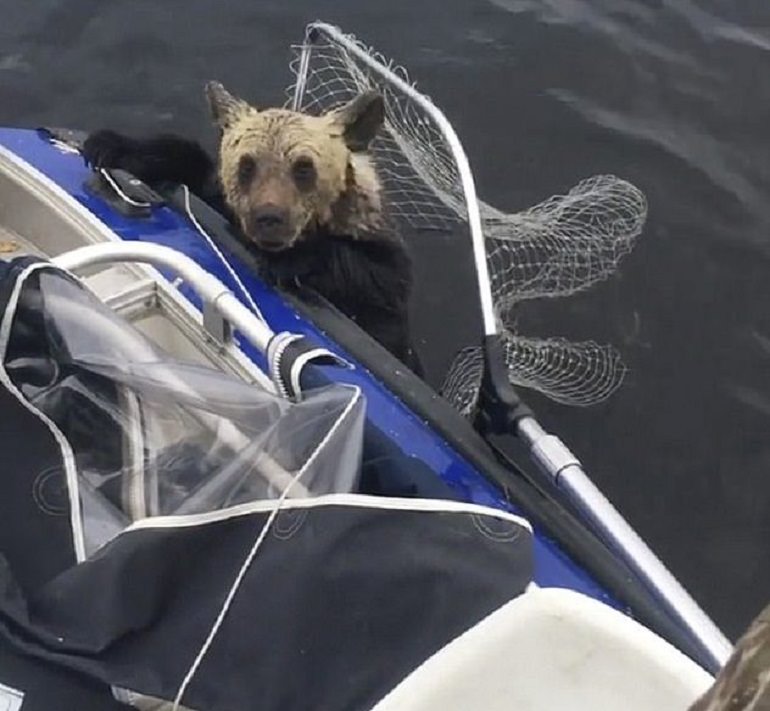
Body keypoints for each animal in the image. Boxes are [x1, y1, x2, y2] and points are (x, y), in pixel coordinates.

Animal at [82, 81, 423, 375]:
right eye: (246, 165)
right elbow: (184, 161)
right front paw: (111, 146)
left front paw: (290, 260)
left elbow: (379, 278)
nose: (269, 217)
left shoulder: (372, 245)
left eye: (304, 168)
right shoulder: (216, 196)